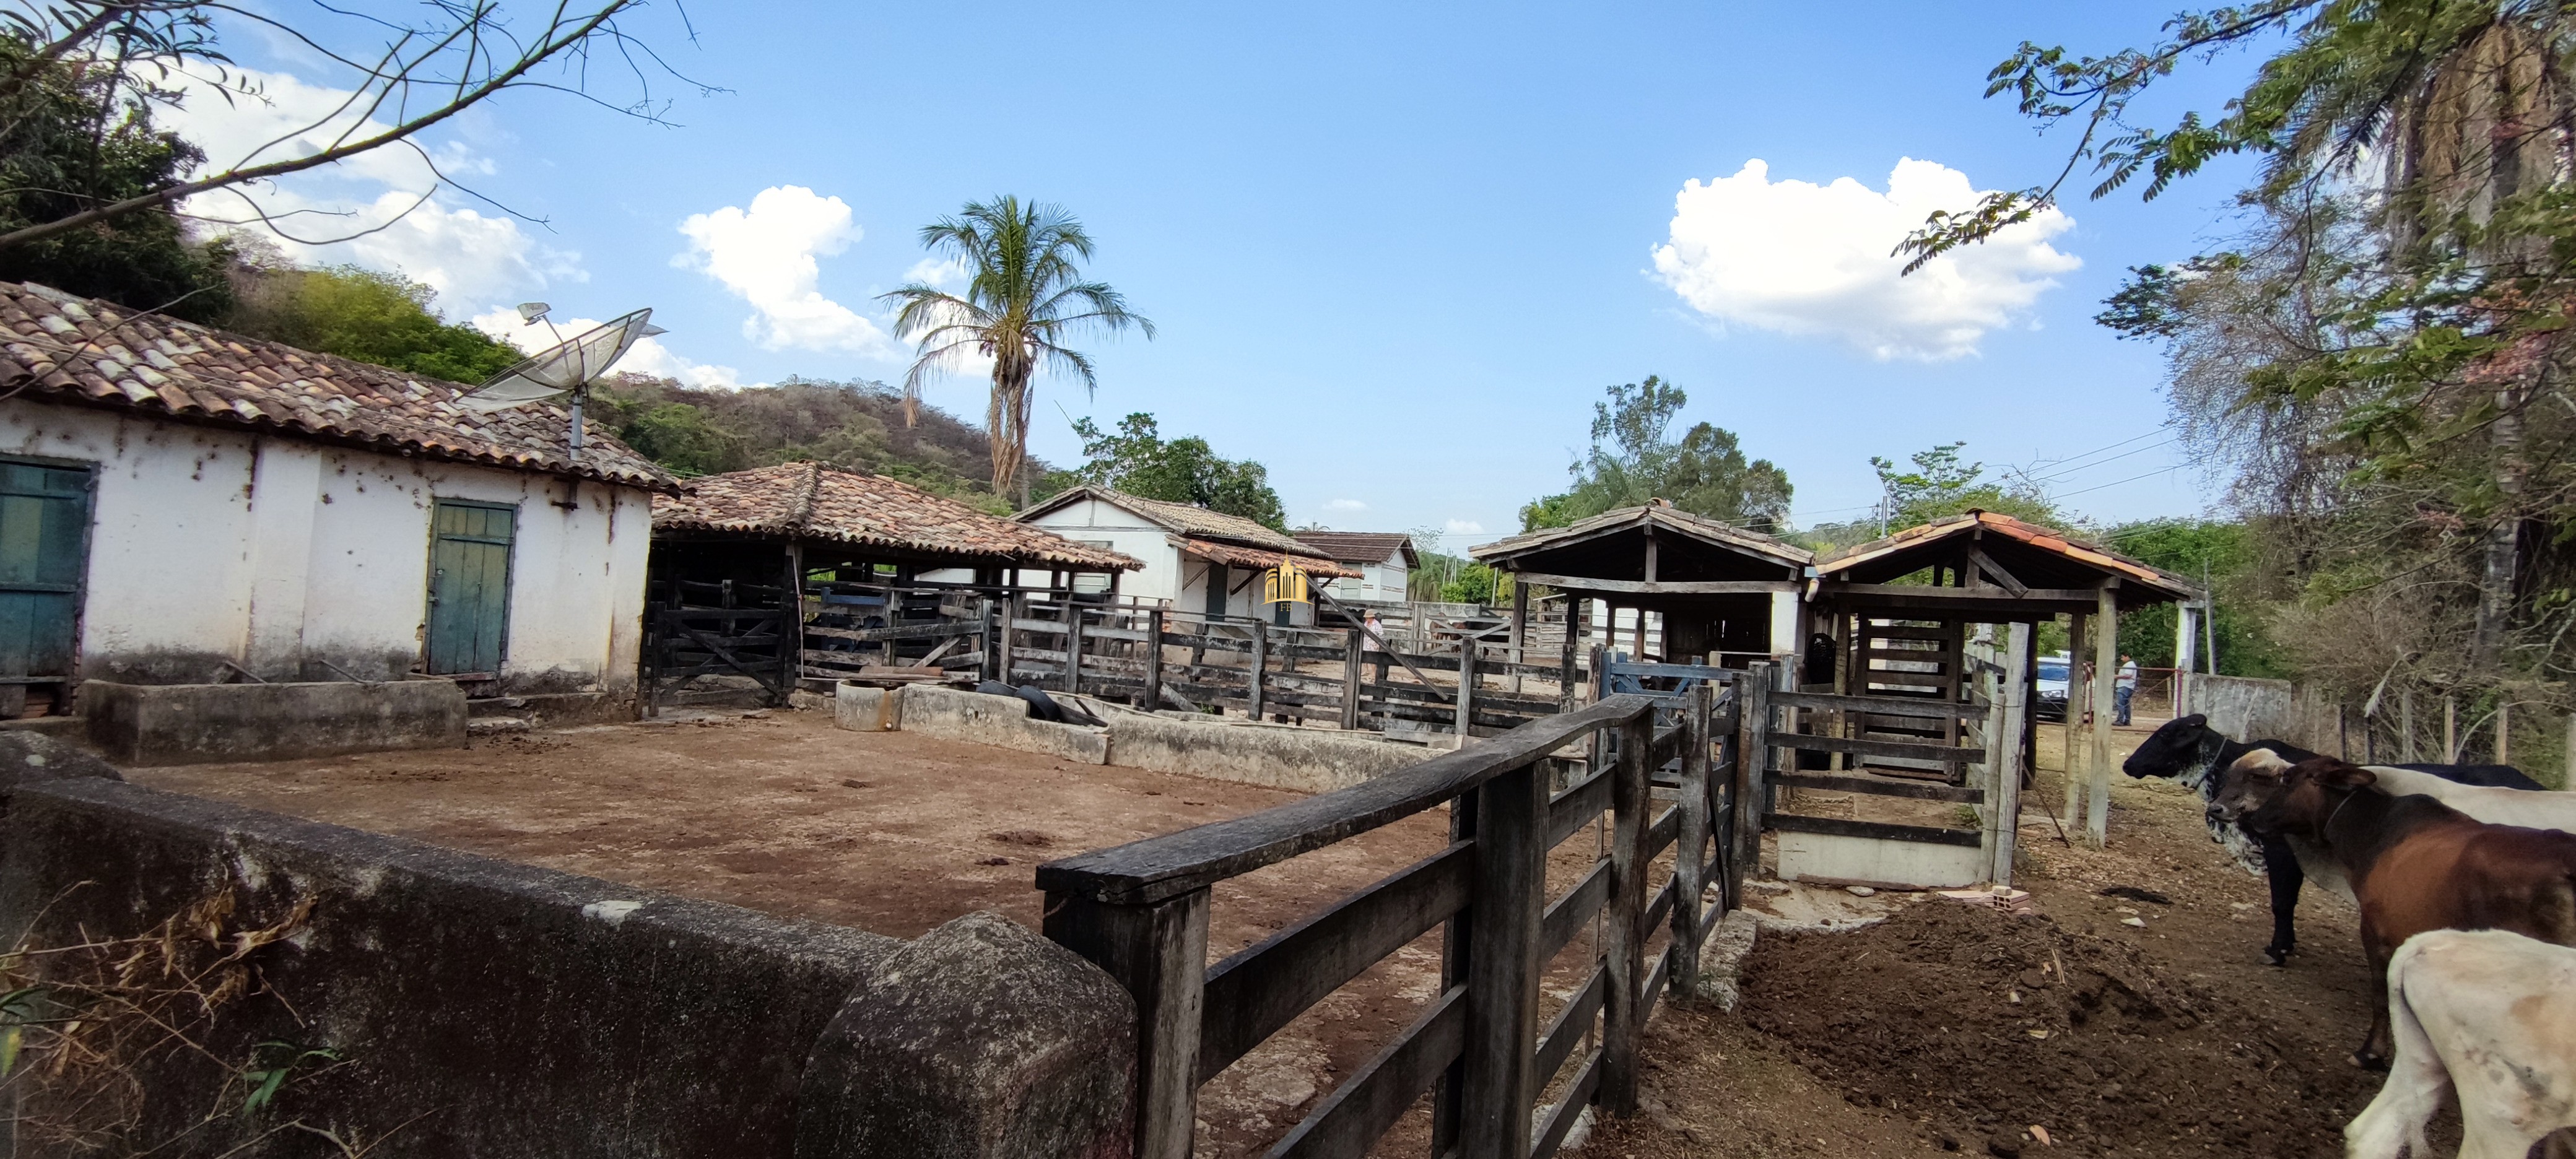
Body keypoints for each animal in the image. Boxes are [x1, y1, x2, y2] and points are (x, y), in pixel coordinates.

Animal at [2204, 762, 2576, 1066]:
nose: (2253, 818)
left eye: (2287, 779)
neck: (2374, 829)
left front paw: (2370, 1052)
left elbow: (2380, 995)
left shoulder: (2376, 930)